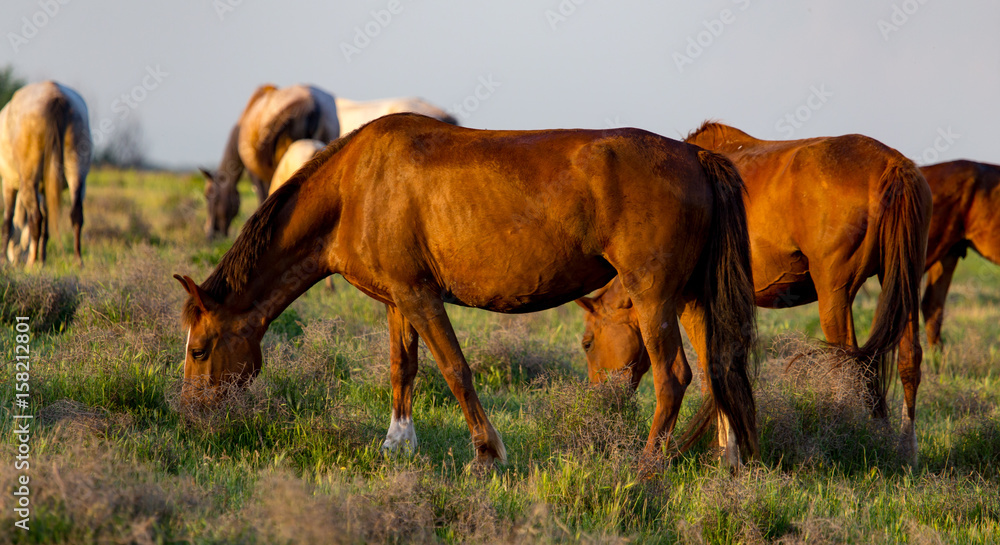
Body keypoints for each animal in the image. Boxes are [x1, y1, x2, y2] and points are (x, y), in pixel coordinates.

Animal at [0, 81, 90, 266]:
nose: (16, 258)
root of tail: (55, 95)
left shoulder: (8, 183)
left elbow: (8, 222)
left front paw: (3, 259)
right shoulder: (45, 189)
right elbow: (46, 226)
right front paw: (43, 258)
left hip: (28, 180)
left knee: (36, 218)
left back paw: (31, 263)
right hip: (77, 173)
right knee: (76, 214)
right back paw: (77, 260)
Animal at [178, 112, 756, 466]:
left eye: (199, 349)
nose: (191, 419)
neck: (353, 188)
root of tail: (695, 158)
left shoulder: (419, 295)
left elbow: (455, 369)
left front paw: (486, 452)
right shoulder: (398, 299)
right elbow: (403, 368)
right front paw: (398, 445)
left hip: (655, 298)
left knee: (674, 377)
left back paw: (647, 465)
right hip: (692, 301)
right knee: (718, 371)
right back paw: (729, 459)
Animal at [580, 121, 928, 462]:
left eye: (587, 343)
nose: (599, 401)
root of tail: (892, 164)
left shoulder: (687, 302)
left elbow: (709, 374)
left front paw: (721, 449)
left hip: (835, 295)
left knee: (851, 366)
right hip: (904, 284)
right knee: (907, 360)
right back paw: (903, 450)